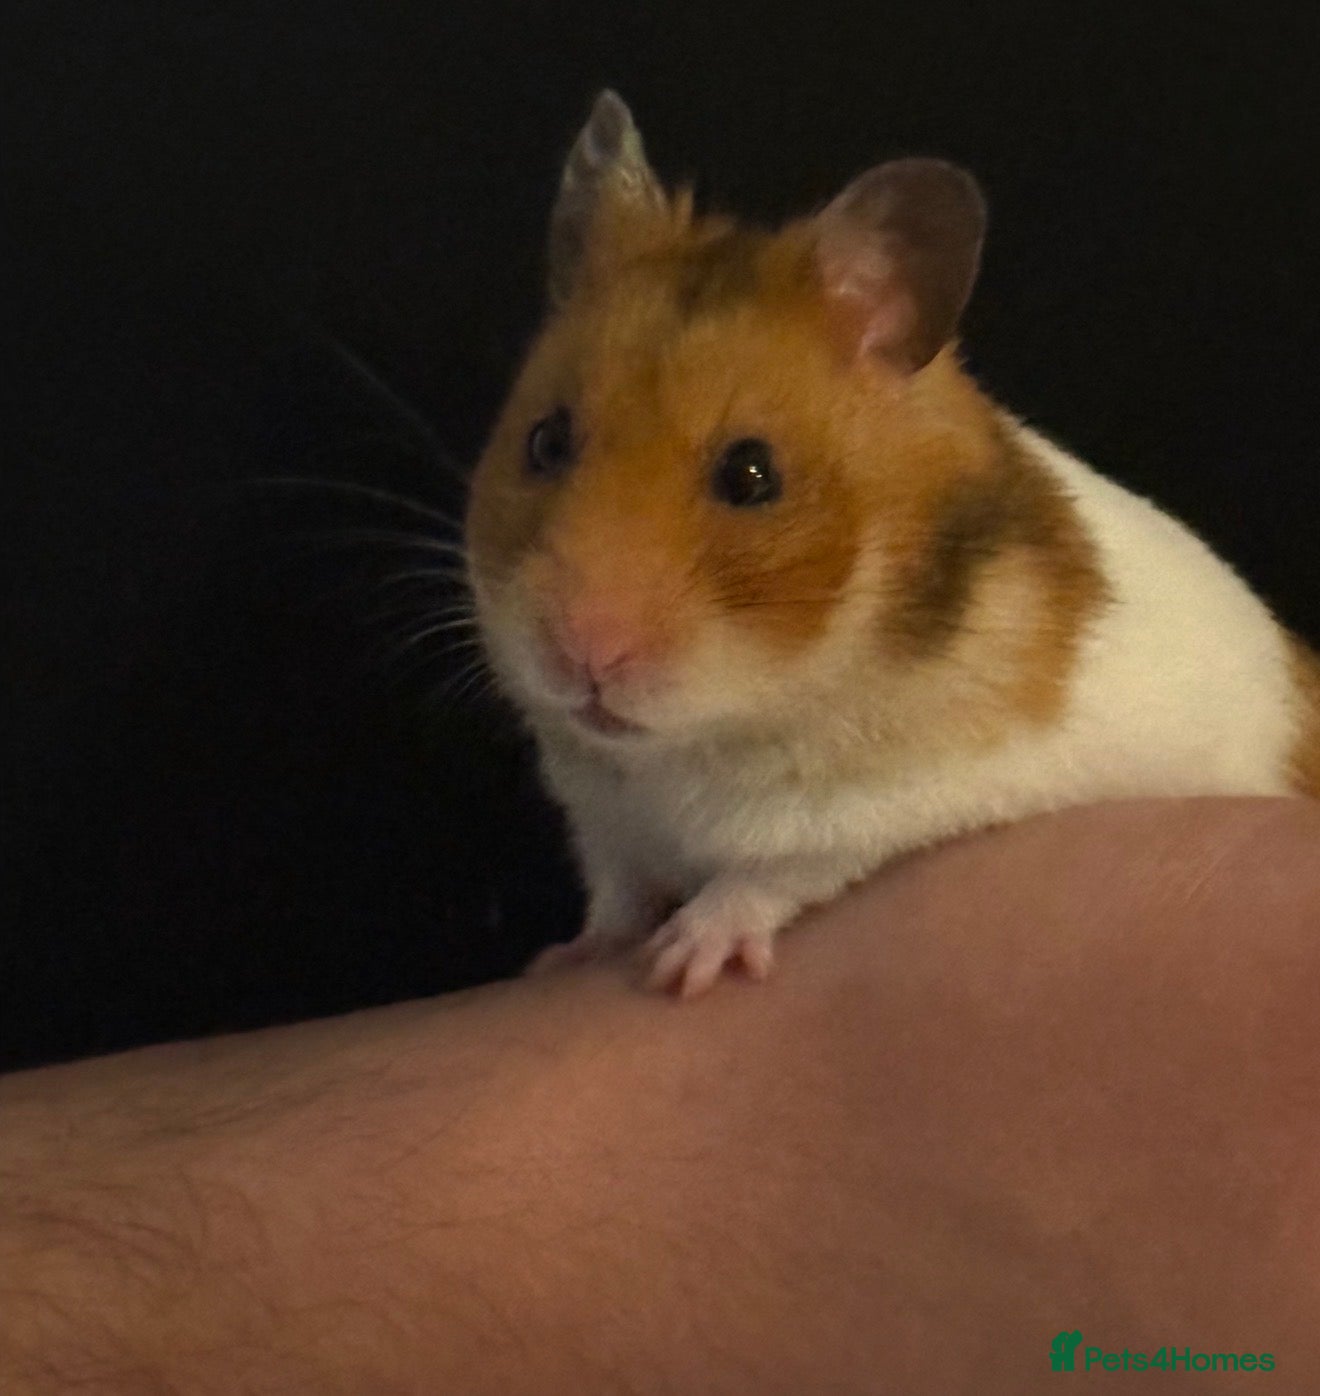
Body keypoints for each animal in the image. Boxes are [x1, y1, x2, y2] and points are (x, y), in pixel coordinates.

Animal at [464, 90, 1320, 998]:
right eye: (546, 441)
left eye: (752, 475)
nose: (579, 660)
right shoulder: (607, 820)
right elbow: (617, 891)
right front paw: (565, 959)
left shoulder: (878, 810)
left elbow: (767, 876)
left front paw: (682, 966)